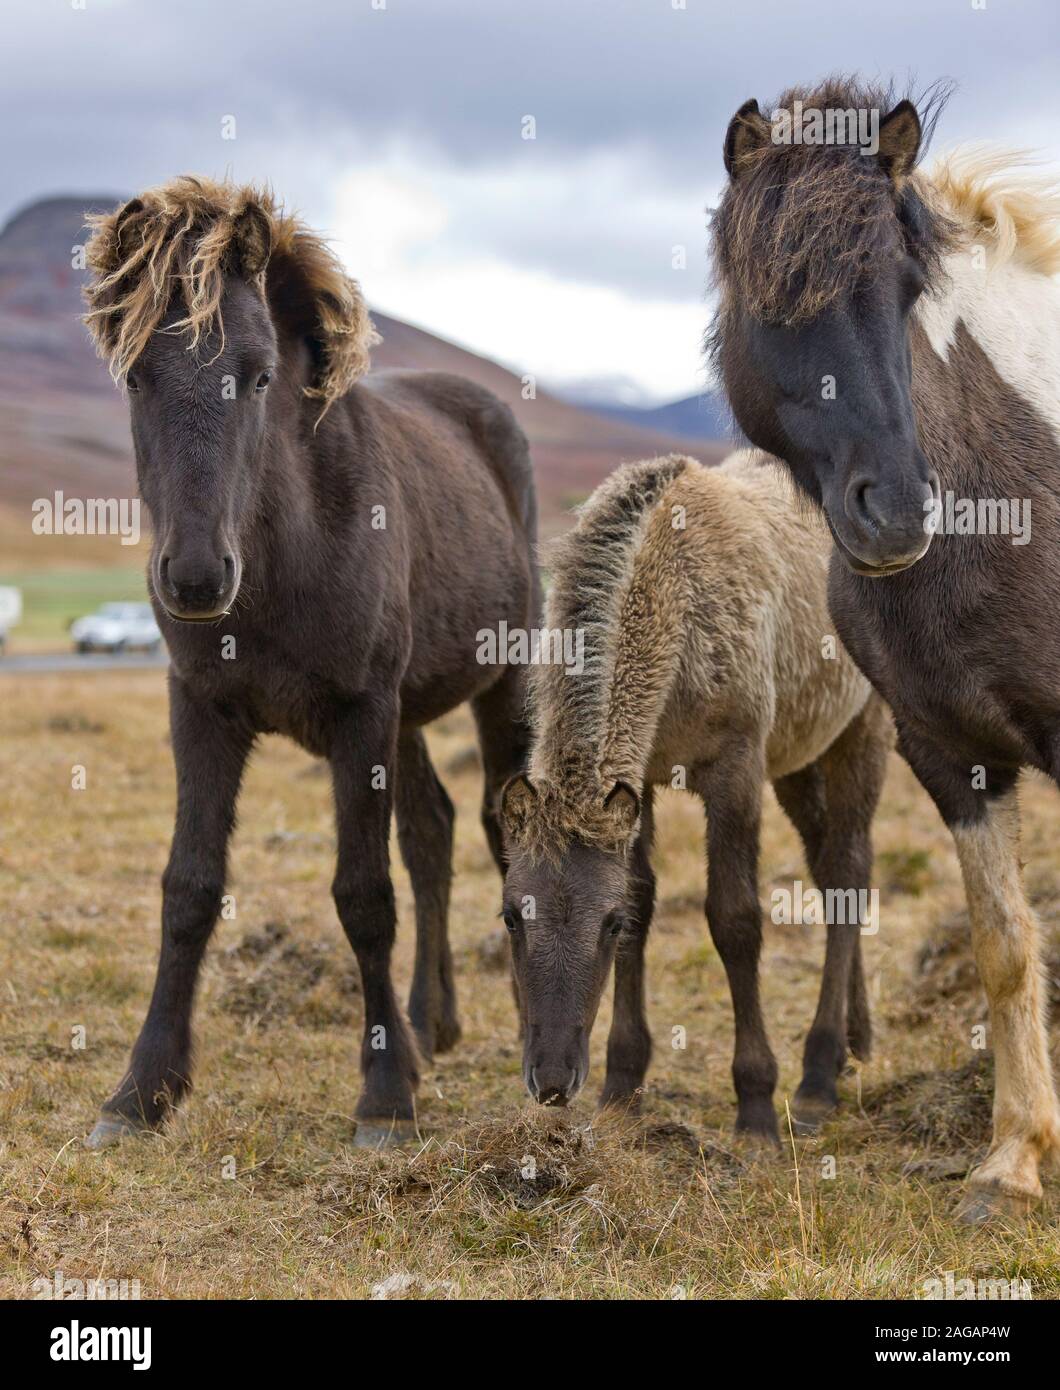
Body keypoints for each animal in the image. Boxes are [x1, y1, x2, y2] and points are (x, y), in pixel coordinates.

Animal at [81, 173, 539, 1150]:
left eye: (257, 374)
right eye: (135, 374)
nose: (195, 575)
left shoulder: (361, 712)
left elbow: (364, 895)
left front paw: (384, 1099)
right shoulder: (202, 710)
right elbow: (189, 889)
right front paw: (140, 1092)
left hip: (497, 688)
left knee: (500, 830)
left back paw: (529, 1036)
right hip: (407, 715)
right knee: (433, 833)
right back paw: (430, 1025)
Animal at [502, 455, 889, 1139]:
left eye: (605, 925)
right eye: (509, 916)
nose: (550, 1081)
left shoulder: (735, 771)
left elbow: (734, 919)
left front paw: (756, 1103)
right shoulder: (641, 786)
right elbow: (644, 900)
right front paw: (621, 1087)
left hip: (858, 734)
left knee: (848, 867)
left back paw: (818, 1075)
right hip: (798, 761)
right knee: (831, 869)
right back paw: (855, 1040)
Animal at [708, 81, 1060, 1223]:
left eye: (908, 290)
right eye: (772, 293)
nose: (898, 510)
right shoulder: (948, 751)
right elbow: (1003, 947)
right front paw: (1012, 1158)